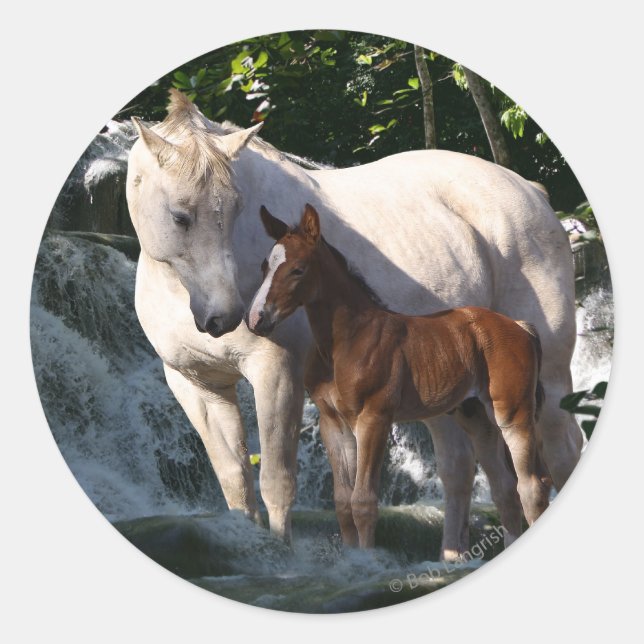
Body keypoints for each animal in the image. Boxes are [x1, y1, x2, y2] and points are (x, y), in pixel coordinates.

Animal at [248, 204, 550, 547]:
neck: (347, 341)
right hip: (477, 418)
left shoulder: (374, 418)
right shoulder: (333, 423)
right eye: (264, 266)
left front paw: (367, 557)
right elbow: (343, 504)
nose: (256, 319)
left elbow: (363, 502)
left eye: (298, 269)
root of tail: (520, 327)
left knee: (530, 487)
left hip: (513, 413)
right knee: (505, 491)